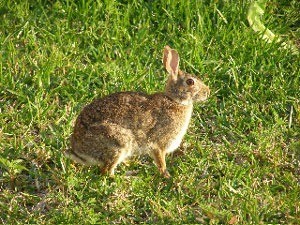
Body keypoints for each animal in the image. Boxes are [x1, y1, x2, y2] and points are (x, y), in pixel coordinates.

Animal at [65, 45, 211, 178]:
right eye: (190, 82)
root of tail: (78, 150)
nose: (208, 92)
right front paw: (167, 176)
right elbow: (161, 161)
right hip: (118, 142)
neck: (174, 101)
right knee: (106, 171)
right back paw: (127, 176)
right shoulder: (158, 143)